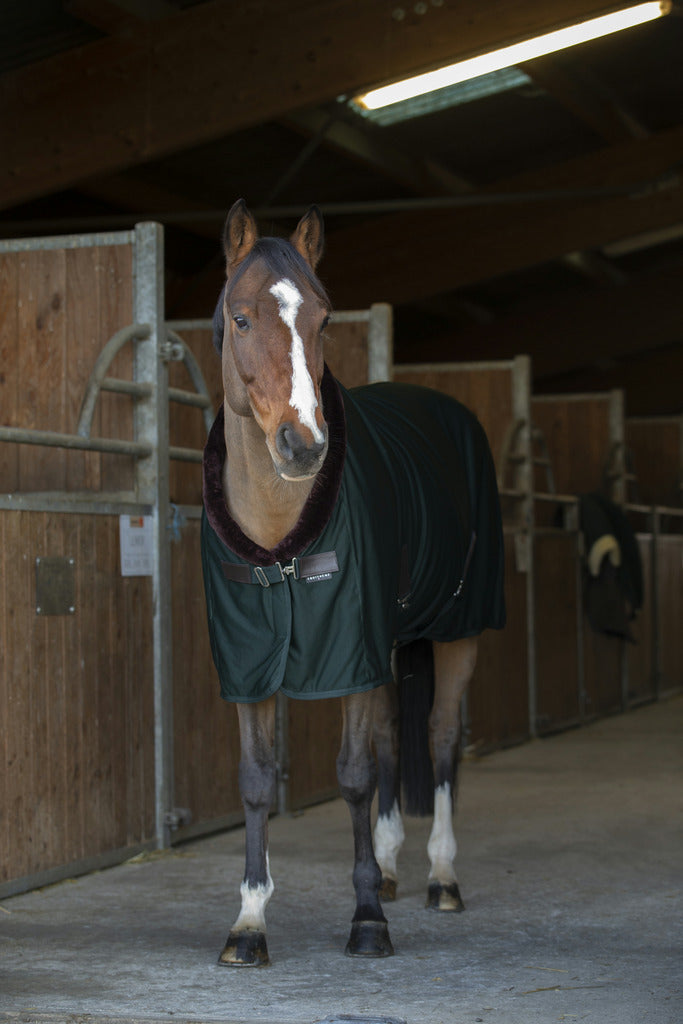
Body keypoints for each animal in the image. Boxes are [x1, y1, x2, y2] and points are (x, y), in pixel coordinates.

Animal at [200, 199, 505, 966]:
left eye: (323, 319)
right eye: (242, 317)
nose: (302, 445)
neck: (278, 543)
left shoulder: (350, 655)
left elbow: (354, 776)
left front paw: (367, 920)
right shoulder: (250, 665)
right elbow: (256, 781)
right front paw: (248, 924)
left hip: (456, 632)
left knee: (440, 737)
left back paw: (440, 878)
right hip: (390, 646)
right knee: (398, 737)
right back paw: (395, 867)